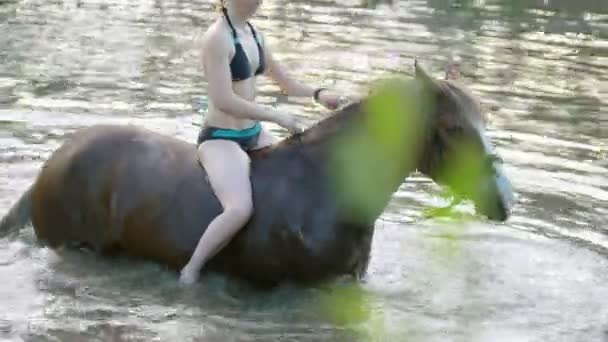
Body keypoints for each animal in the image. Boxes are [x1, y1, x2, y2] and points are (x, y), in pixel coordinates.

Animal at [0, 63, 512, 286]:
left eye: (485, 118)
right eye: (453, 127)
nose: (505, 200)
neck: (327, 193)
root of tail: (54, 161)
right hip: (72, 245)